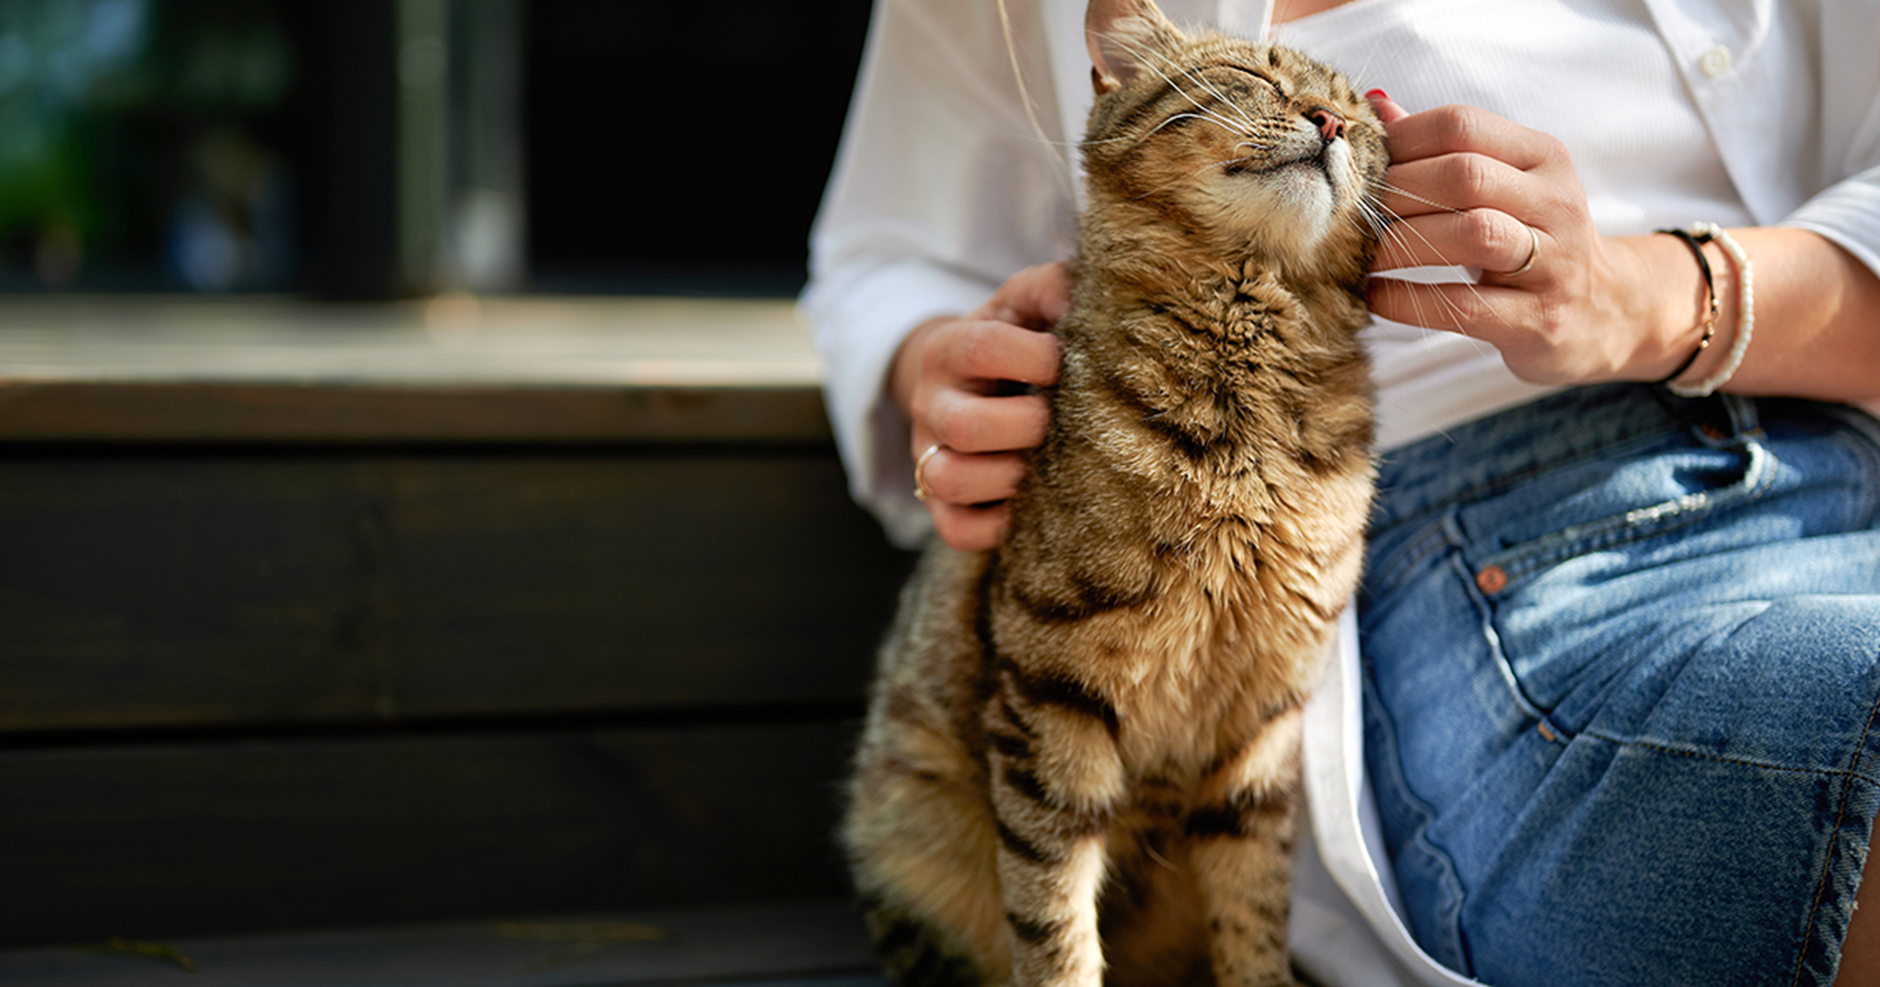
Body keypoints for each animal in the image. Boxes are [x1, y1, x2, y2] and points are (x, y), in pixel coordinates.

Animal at [846, 3, 1391, 977]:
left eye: (1360, 123)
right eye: (1258, 76)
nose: (1329, 122)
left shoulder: (1263, 719)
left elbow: (1253, 907)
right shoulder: (1052, 694)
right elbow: (1053, 914)